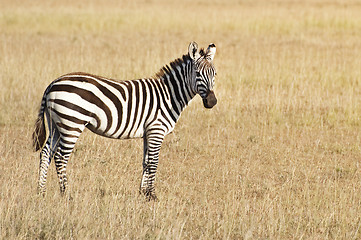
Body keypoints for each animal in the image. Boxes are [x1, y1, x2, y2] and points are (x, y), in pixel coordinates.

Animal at [33, 41, 217, 201]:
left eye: (215, 74)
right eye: (198, 74)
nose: (212, 102)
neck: (169, 94)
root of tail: (53, 83)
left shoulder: (148, 133)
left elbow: (146, 162)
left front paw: (143, 193)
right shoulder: (156, 130)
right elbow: (154, 163)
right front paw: (153, 196)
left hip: (56, 125)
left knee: (46, 153)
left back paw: (41, 192)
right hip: (72, 124)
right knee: (60, 157)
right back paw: (66, 194)